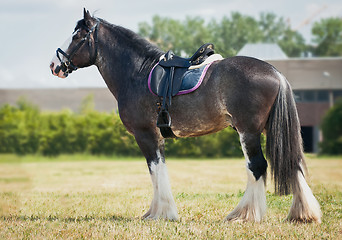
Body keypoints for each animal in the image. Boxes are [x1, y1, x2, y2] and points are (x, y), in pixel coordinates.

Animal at [50, 9, 320, 223]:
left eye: (78, 36)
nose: (54, 65)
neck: (137, 73)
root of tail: (276, 73)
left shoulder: (145, 134)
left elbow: (155, 170)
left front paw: (162, 214)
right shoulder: (156, 136)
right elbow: (158, 171)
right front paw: (156, 212)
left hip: (249, 132)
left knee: (257, 166)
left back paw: (245, 214)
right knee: (293, 161)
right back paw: (303, 214)